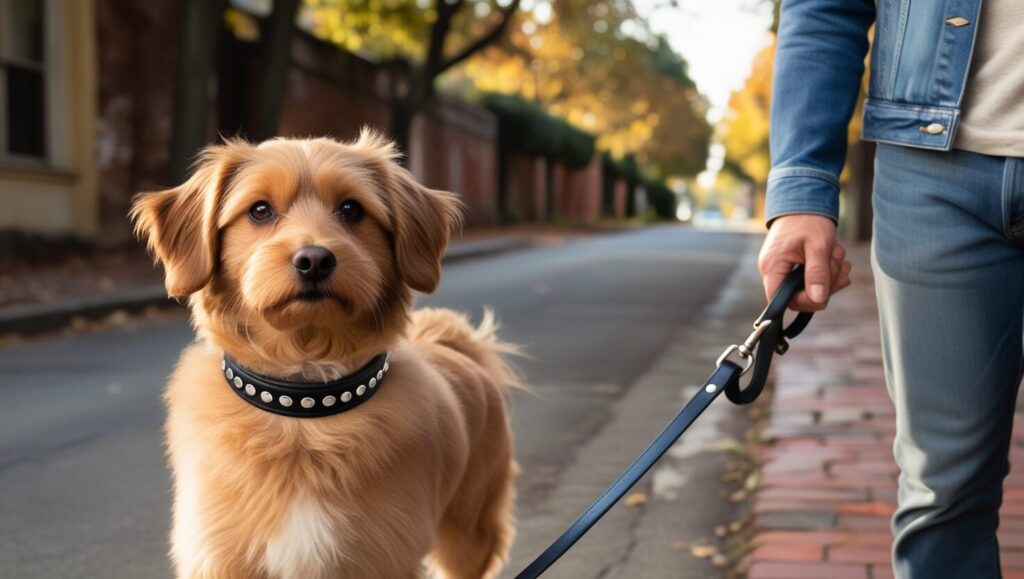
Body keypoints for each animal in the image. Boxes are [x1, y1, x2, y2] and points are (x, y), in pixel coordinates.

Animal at [130, 132, 520, 577]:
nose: (314, 260)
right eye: (260, 210)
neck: (304, 403)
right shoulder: (221, 559)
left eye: (351, 209)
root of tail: (453, 343)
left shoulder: (382, 559)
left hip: (469, 533)